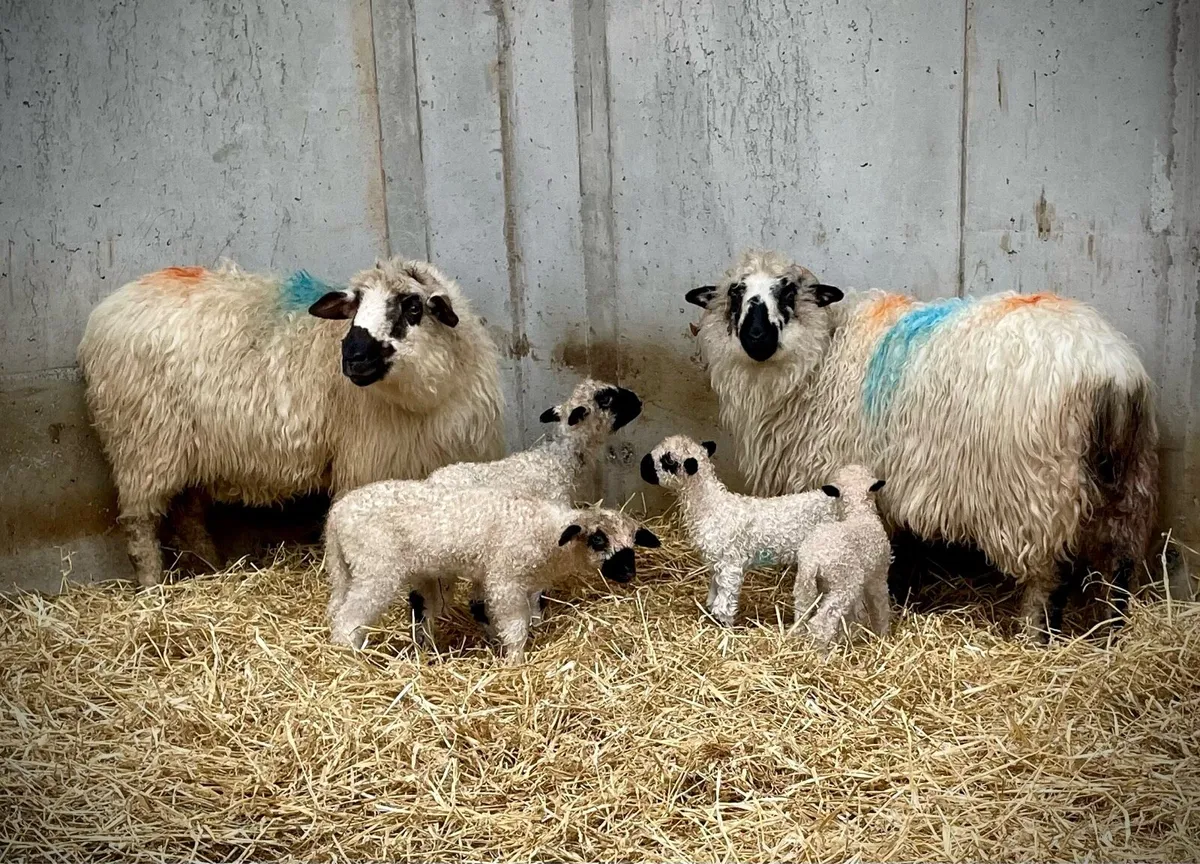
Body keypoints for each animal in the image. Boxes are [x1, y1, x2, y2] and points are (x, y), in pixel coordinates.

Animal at [77, 257, 505, 587]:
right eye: (354, 306)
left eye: (412, 305)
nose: (352, 357)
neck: (430, 394)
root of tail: (107, 309)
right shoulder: (367, 464)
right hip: (141, 443)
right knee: (140, 524)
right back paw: (152, 589)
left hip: (187, 451)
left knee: (188, 514)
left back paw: (212, 569)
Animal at [323, 480, 660, 663]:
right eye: (598, 539)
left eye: (632, 543)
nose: (628, 573)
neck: (546, 532)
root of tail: (336, 516)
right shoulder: (505, 578)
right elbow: (515, 624)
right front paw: (514, 659)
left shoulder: (488, 577)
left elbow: (482, 609)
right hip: (376, 569)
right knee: (349, 617)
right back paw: (350, 656)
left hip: (353, 569)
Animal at [639, 435, 837, 626]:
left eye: (668, 460)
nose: (642, 466)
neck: (710, 506)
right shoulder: (716, 563)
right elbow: (714, 591)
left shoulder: (730, 563)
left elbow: (724, 600)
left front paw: (723, 623)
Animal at [793, 464, 891, 648]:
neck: (859, 514)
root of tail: (814, 561)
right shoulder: (878, 574)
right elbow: (879, 605)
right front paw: (882, 635)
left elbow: (851, 615)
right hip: (844, 585)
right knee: (820, 623)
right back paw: (820, 652)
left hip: (805, 584)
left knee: (801, 615)